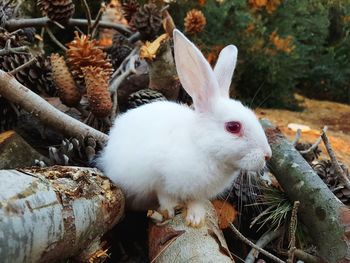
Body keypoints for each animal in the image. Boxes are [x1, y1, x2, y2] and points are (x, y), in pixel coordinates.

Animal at [97, 28, 272, 227]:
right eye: (233, 127)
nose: (267, 155)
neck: (202, 147)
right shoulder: (160, 179)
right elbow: (165, 196)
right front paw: (171, 211)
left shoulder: (197, 193)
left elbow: (195, 202)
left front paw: (196, 219)